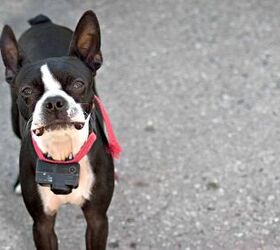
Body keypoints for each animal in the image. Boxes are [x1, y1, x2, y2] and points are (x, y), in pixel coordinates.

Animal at [0, 10, 120, 250]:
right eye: (27, 91)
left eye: (78, 84)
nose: (54, 102)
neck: (63, 149)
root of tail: (43, 22)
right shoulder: (42, 224)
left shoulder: (97, 219)